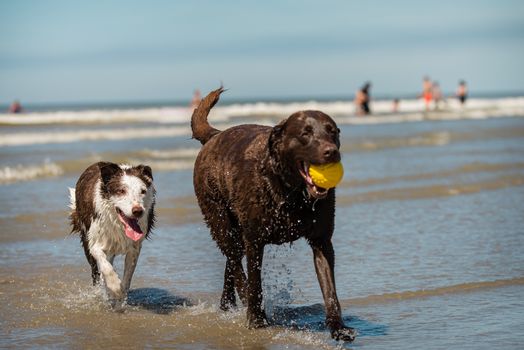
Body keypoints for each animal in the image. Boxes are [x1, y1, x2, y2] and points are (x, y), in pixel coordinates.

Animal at [69, 161, 156, 304]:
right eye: (121, 191)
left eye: (143, 191)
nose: (138, 211)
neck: (118, 224)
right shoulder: (95, 243)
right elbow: (106, 267)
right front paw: (115, 287)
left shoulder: (135, 248)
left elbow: (128, 274)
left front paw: (121, 293)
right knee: (96, 272)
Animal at [191, 88, 356, 342]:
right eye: (305, 133)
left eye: (332, 131)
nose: (331, 152)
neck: (292, 192)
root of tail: (214, 136)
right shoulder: (255, 240)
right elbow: (254, 283)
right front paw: (256, 319)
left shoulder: (322, 241)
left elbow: (330, 289)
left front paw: (338, 327)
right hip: (220, 220)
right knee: (235, 263)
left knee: (231, 261)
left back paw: (227, 305)